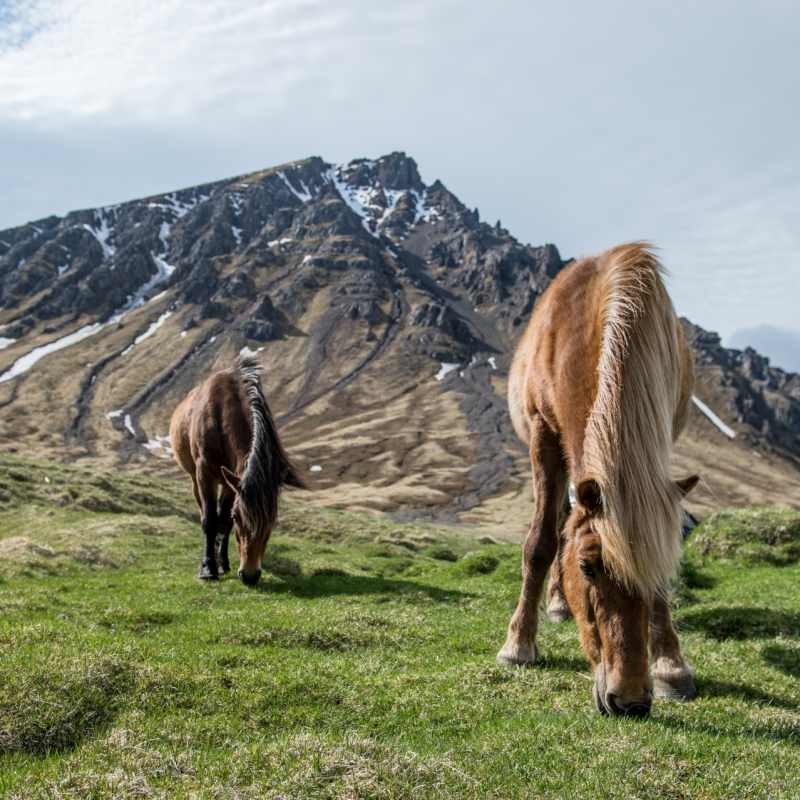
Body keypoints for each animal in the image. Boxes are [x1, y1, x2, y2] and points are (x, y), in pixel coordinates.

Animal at [170, 354, 304, 585]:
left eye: (272, 522)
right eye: (239, 518)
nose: (250, 575)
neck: (221, 414)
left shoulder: (233, 480)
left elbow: (224, 521)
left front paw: (222, 563)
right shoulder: (205, 473)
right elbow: (210, 520)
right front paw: (208, 568)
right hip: (197, 479)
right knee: (204, 511)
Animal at [497, 242, 699, 717]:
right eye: (588, 567)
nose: (629, 700)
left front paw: (670, 665)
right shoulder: (543, 432)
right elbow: (540, 542)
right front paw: (518, 645)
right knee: (556, 524)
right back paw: (553, 605)